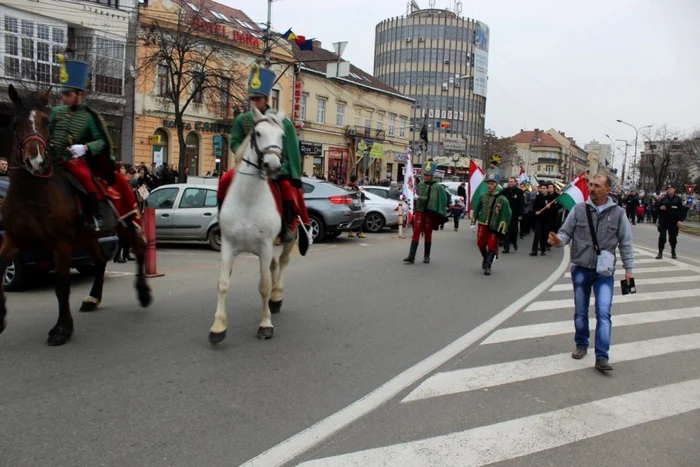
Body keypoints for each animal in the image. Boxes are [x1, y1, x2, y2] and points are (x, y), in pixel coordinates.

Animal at [0, 85, 152, 348]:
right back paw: (93, 298)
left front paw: (62, 329)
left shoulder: (60, 244)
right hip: (87, 237)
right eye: (17, 121)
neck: (33, 194)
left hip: (126, 222)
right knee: (100, 261)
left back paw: (142, 293)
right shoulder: (13, 239)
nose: (36, 160)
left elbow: (62, 287)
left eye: (44, 121)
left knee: (140, 250)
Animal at [208, 106, 296, 344]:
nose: (273, 165)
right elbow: (222, 284)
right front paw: (218, 327)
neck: (248, 199)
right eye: (257, 133)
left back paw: (277, 296)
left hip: (287, 239)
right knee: (274, 265)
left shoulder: (265, 246)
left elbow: (264, 286)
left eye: (282, 136)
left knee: (282, 263)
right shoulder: (228, 245)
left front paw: (265, 325)